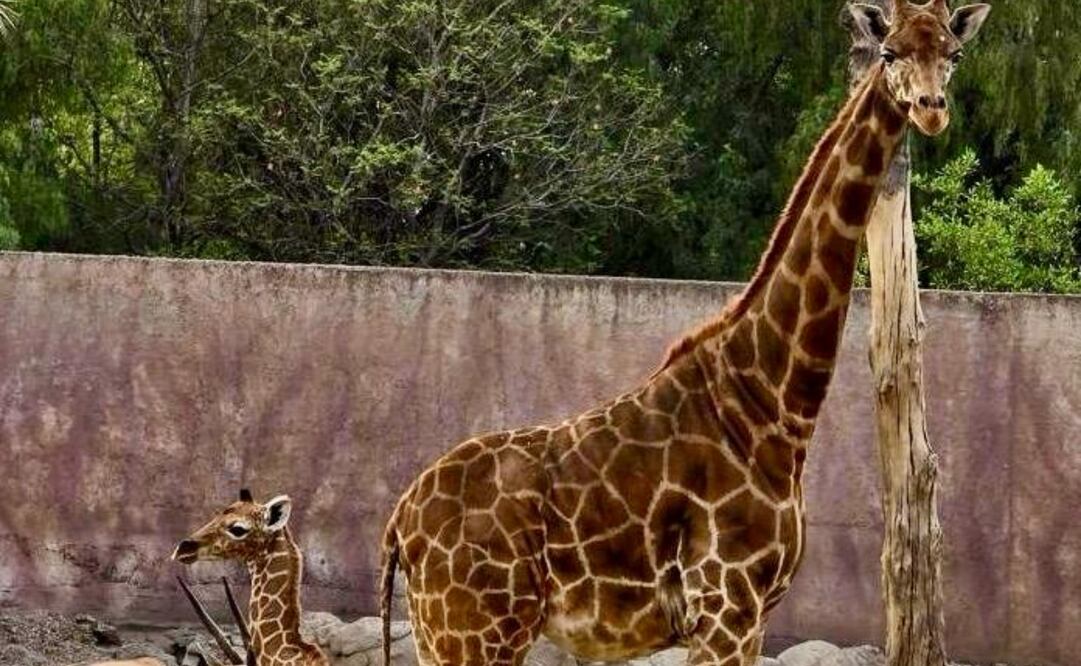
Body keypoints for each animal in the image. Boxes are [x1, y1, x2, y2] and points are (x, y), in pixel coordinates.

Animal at [380, 2, 991, 665]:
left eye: (953, 52)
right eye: (889, 52)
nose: (931, 108)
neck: (771, 406)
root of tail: (399, 528)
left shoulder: (751, 612)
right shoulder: (726, 605)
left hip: (443, 634)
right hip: (473, 632)